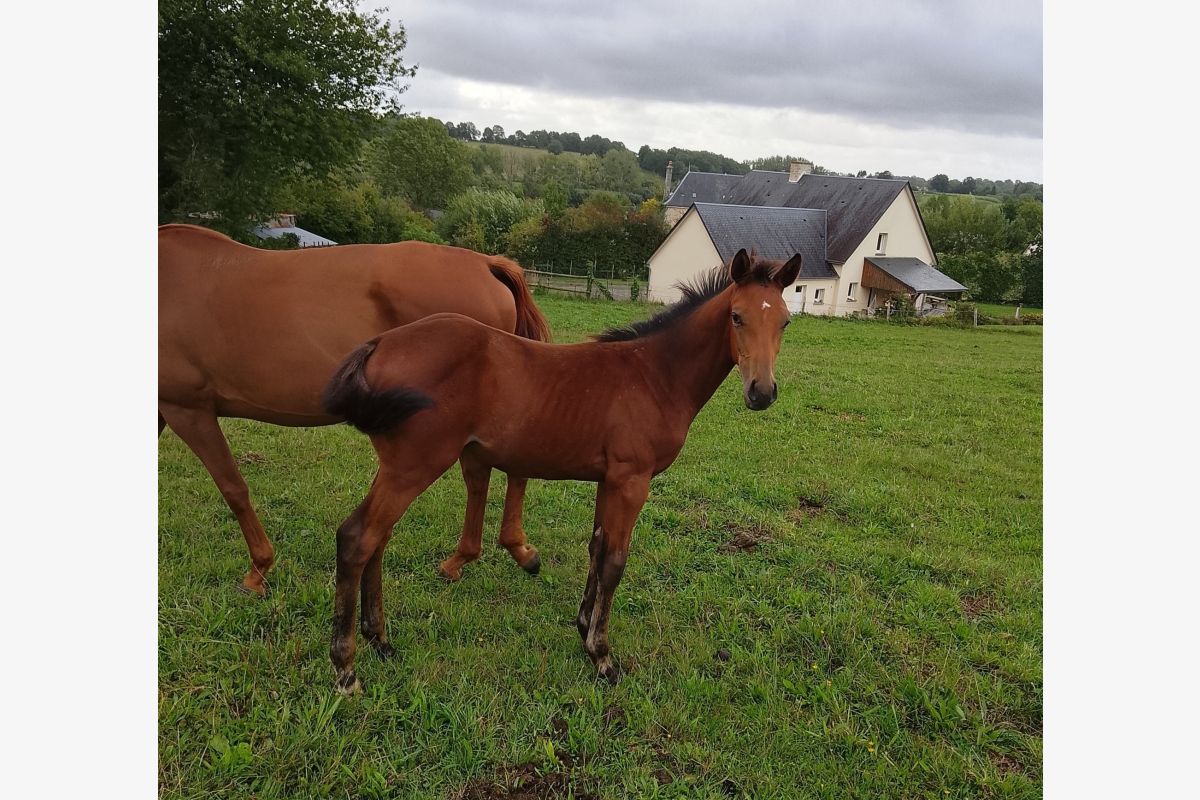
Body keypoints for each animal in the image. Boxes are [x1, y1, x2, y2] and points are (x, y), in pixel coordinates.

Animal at [321, 248, 802, 692]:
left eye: (785, 322)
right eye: (737, 317)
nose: (762, 392)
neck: (654, 376)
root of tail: (380, 343)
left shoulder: (609, 480)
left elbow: (597, 548)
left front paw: (584, 627)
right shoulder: (632, 481)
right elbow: (615, 561)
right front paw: (603, 657)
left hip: (397, 466)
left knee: (377, 539)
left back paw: (380, 640)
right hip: (414, 465)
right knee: (358, 537)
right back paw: (346, 668)